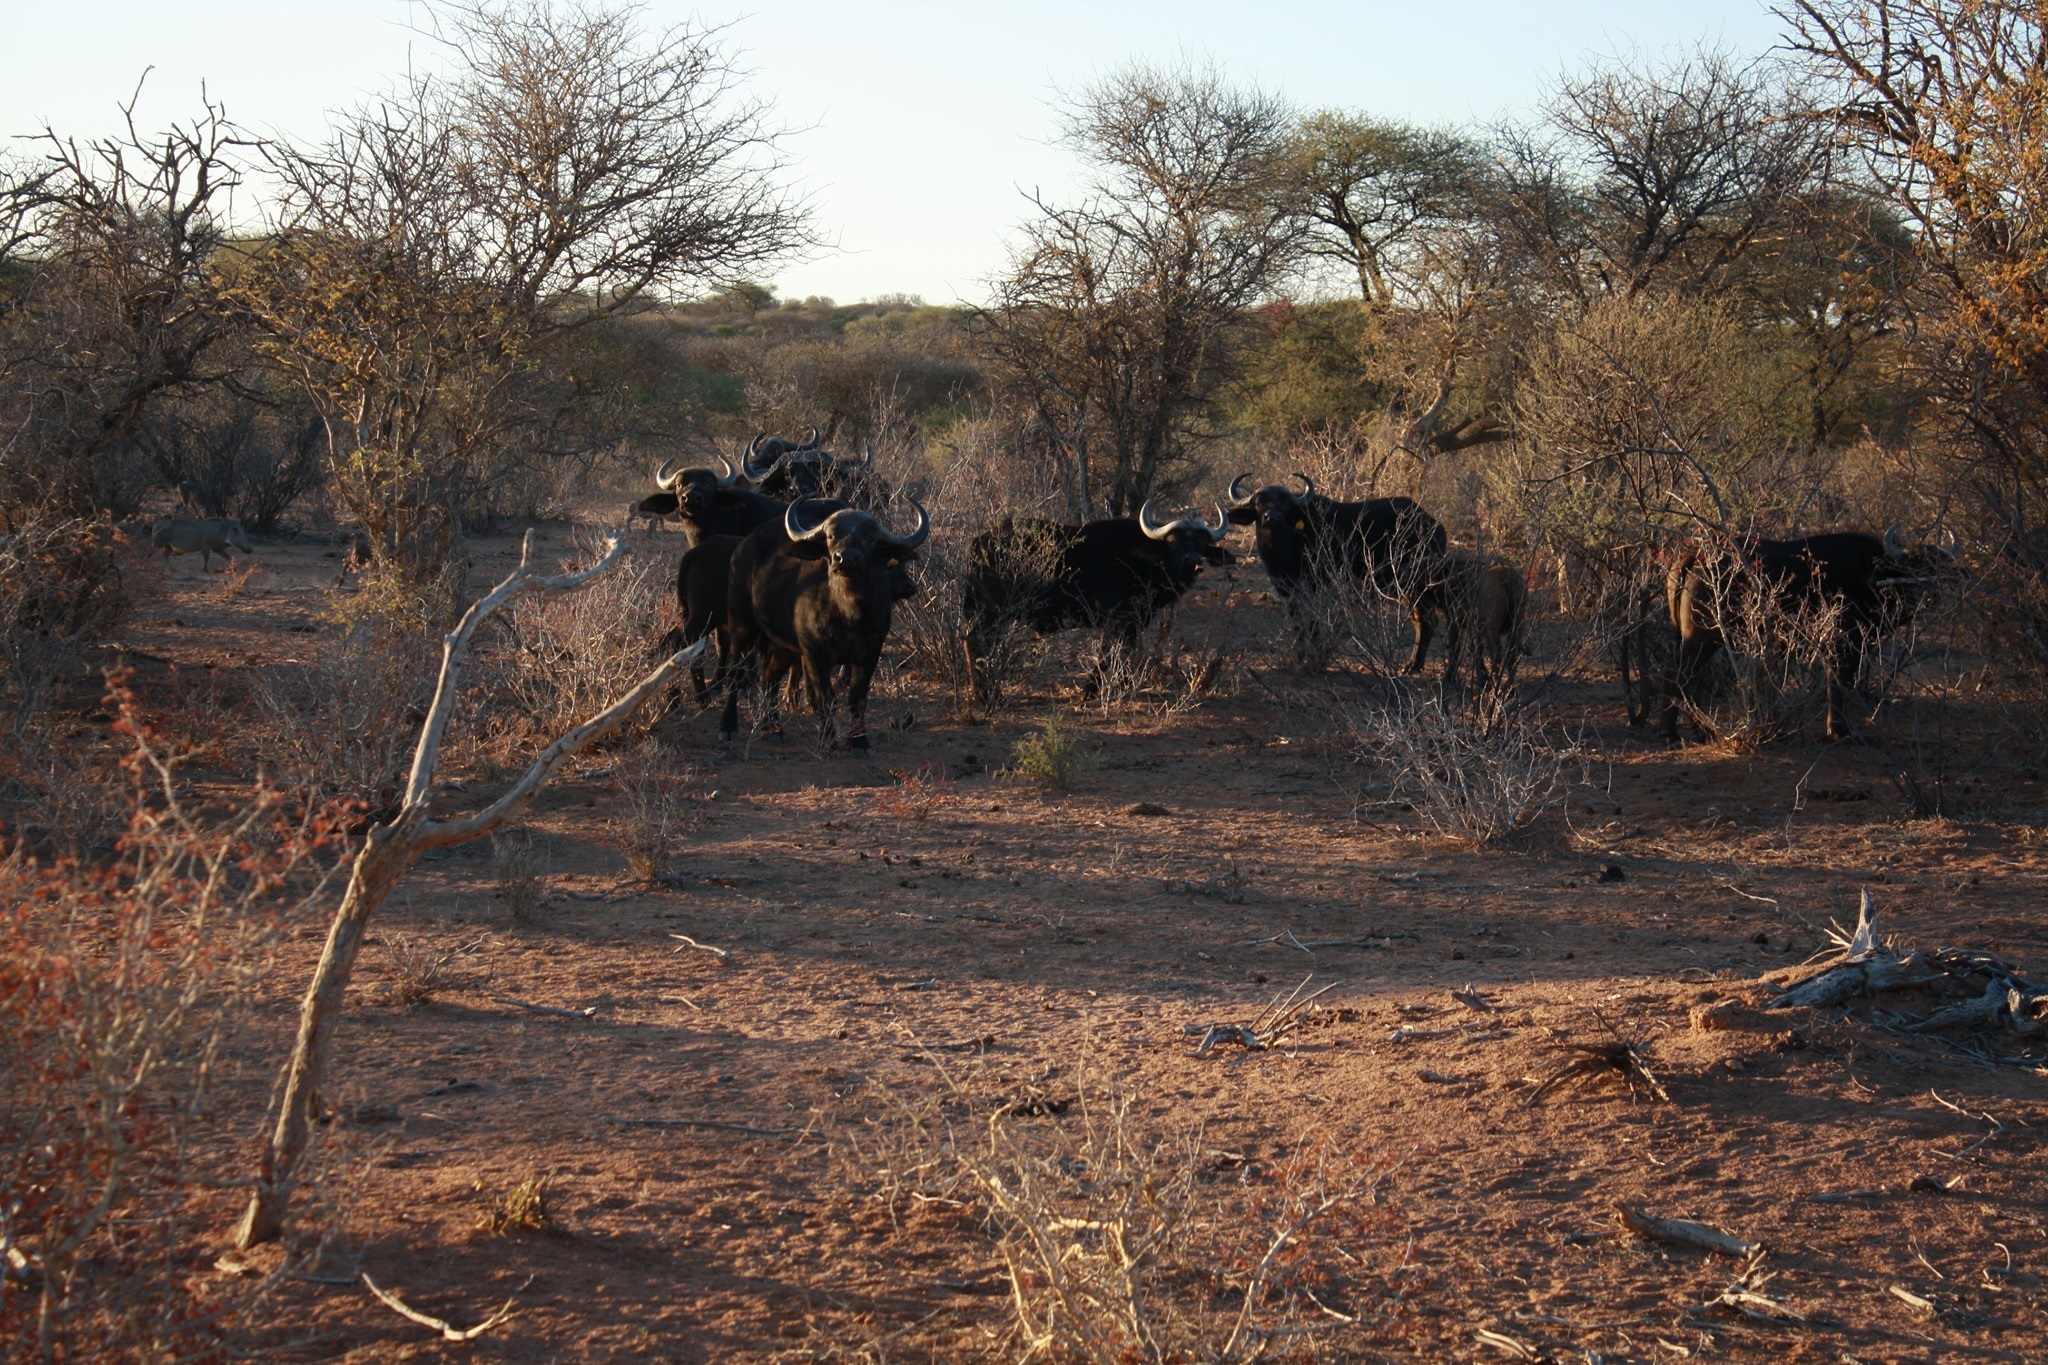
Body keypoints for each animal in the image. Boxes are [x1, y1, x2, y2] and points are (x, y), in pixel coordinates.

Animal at [720, 499, 929, 757]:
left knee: (769, 677)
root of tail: (743, 547)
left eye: (872, 538)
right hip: (742, 627)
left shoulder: (871, 652)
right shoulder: (814, 653)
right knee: (735, 675)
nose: (846, 558)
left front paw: (860, 743)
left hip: (784, 646)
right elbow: (825, 698)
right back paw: (728, 728)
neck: (848, 613)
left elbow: (857, 699)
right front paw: (828, 740)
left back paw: (773, 728)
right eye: (830, 536)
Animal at [962, 501, 1228, 695]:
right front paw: (1091, 689)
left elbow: (1124, 654)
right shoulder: (1119, 620)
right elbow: (1109, 654)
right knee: (976, 641)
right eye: (1173, 541)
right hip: (992, 612)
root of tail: (978, 543)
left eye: (1202, 542)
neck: (1140, 561)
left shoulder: (1133, 623)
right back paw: (984, 693)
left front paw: (1123, 685)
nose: (1192, 560)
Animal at [1220, 474, 1449, 679]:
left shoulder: (1318, 592)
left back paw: (1413, 666)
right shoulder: (1291, 596)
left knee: (1427, 620)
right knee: (1422, 621)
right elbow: (1298, 627)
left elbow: (1314, 627)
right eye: (1259, 504)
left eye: (1285, 505)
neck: (1285, 546)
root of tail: (1434, 526)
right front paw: (1298, 659)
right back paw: (1413, 665)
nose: (1273, 517)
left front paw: (1311, 661)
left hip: (1415, 586)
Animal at [1654, 527, 1957, 740]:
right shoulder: (1843, 643)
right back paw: (1672, 733)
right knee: (1678, 676)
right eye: (1914, 567)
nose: (1930, 591)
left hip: (1702, 640)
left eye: (1939, 568)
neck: (1869, 573)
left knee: (1689, 681)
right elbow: (1839, 683)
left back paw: (1701, 731)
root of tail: (1696, 555)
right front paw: (1839, 730)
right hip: (1700, 639)